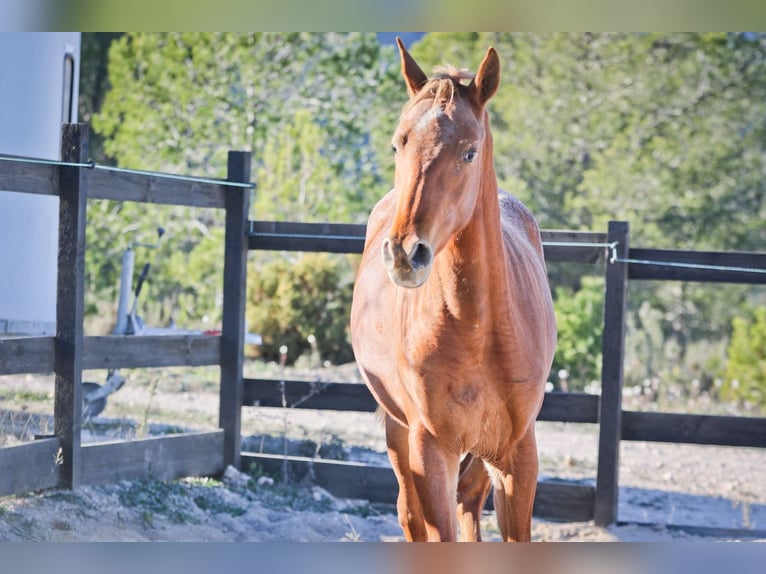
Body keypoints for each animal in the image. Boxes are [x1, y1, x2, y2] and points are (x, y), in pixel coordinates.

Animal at [350, 41, 560, 544]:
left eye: (469, 152)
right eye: (398, 143)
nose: (405, 252)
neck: (479, 329)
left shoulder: (518, 455)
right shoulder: (430, 451)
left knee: (468, 502)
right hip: (398, 432)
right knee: (410, 515)